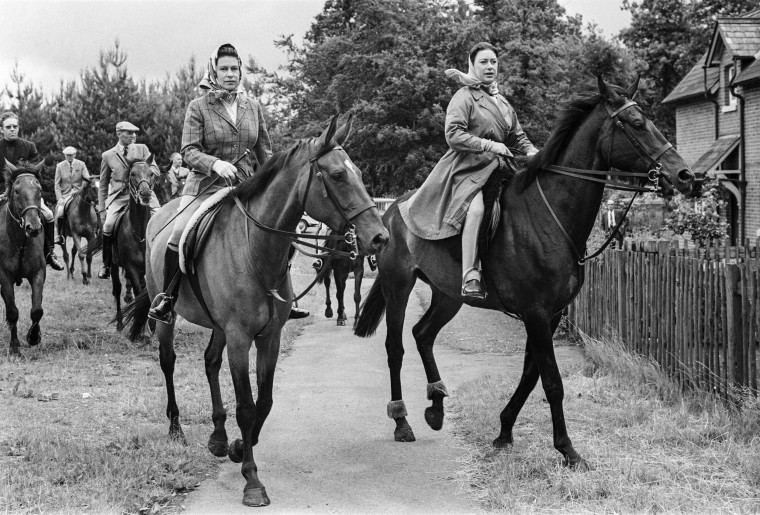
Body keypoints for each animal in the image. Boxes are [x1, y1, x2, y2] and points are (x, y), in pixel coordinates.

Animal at [125, 115, 388, 506]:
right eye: (339, 175)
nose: (380, 238)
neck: (256, 250)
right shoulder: (239, 338)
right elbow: (247, 407)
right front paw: (252, 480)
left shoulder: (268, 338)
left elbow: (264, 402)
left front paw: (237, 447)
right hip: (169, 319)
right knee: (168, 362)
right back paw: (175, 428)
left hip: (218, 327)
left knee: (210, 362)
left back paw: (219, 437)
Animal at [354, 77, 696, 472]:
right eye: (638, 124)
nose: (684, 175)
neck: (549, 215)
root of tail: (390, 212)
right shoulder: (535, 313)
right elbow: (551, 381)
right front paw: (568, 450)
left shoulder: (551, 313)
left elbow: (531, 374)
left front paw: (504, 431)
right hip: (398, 286)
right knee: (395, 347)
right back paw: (402, 421)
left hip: (448, 295)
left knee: (422, 335)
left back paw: (436, 407)